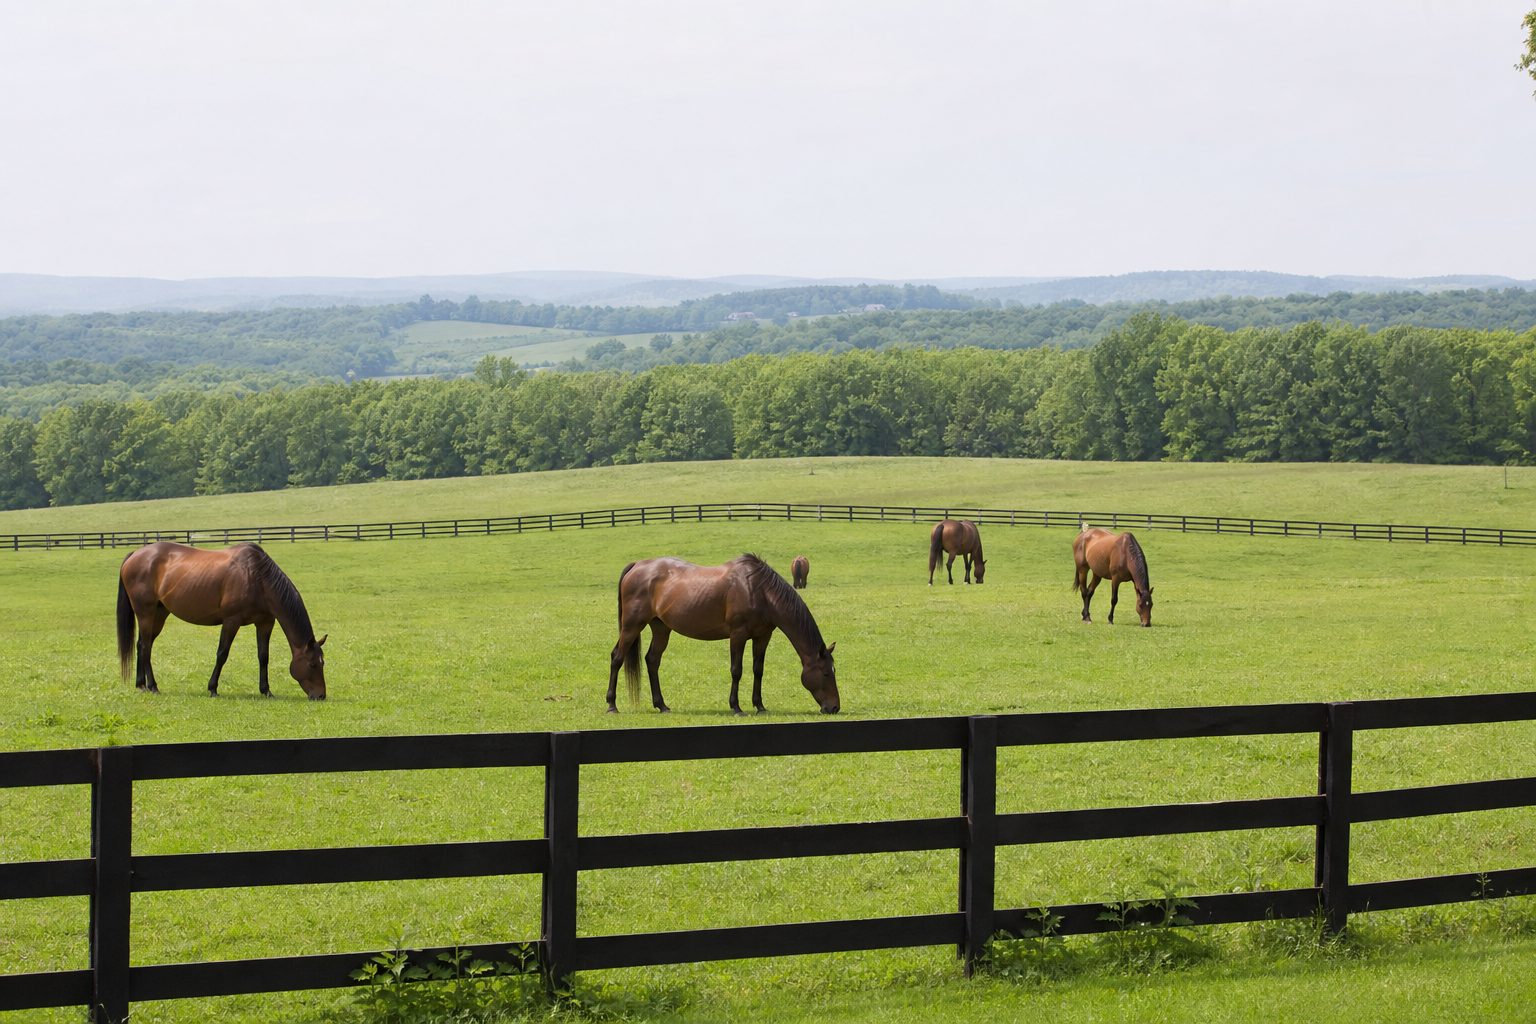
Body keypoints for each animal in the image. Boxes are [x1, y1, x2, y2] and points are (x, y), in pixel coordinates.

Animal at [117, 542, 328, 698]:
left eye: (323, 663)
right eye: (312, 664)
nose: (320, 696)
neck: (257, 577)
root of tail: (136, 554)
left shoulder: (265, 623)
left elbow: (263, 657)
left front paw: (266, 690)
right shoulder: (231, 621)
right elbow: (222, 654)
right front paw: (212, 688)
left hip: (159, 614)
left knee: (143, 644)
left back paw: (142, 684)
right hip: (145, 613)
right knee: (145, 646)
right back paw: (151, 686)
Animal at [607, 553, 839, 715]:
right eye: (826, 673)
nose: (834, 708)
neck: (759, 591)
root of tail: (637, 565)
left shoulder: (762, 637)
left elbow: (758, 670)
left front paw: (759, 705)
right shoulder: (737, 635)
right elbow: (737, 670)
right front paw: (736, 707)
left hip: (661, 628)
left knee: (652, 660)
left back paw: (662, 705)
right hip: (631, 626)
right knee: (617, 658)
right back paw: (612, 705)